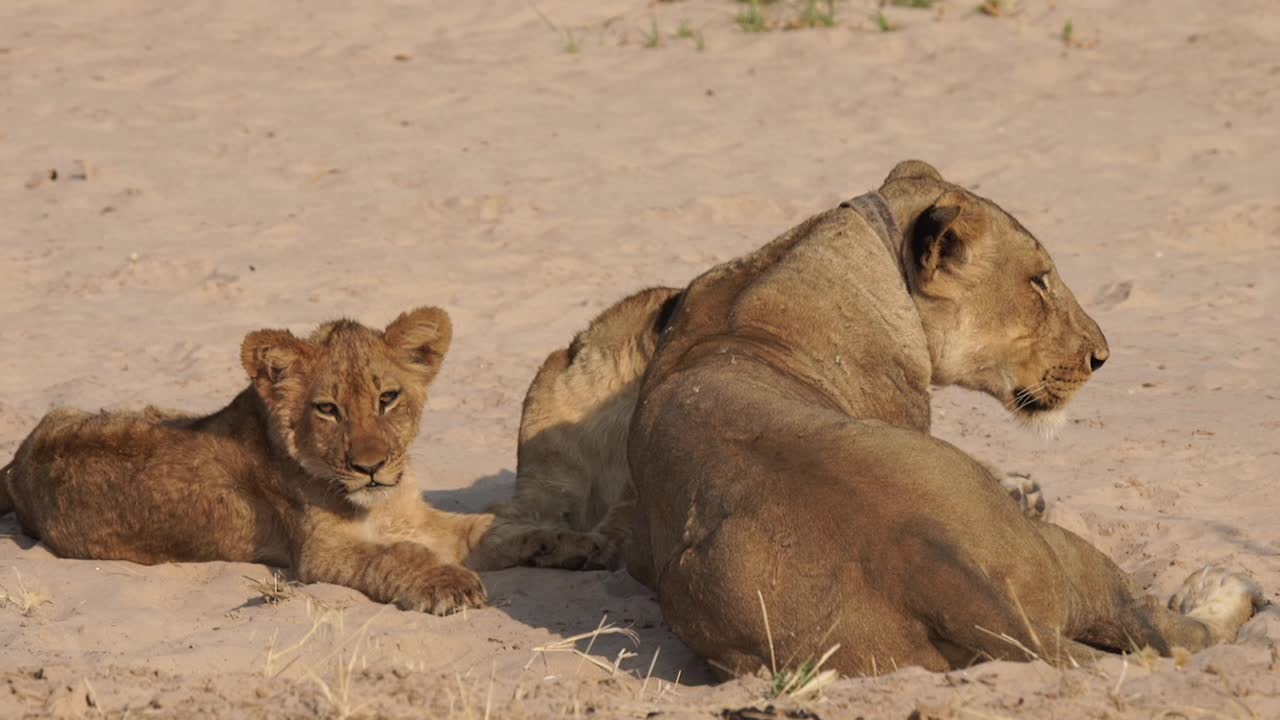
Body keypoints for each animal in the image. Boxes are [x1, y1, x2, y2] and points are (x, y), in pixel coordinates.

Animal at [1, 304, 488, 614]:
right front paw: (451, 584)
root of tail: (17, 461)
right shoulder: (319, 555)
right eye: (328, 409)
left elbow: (482, 528)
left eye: (387, 398)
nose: (369, 467)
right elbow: (395, 555)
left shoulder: (414, 516)